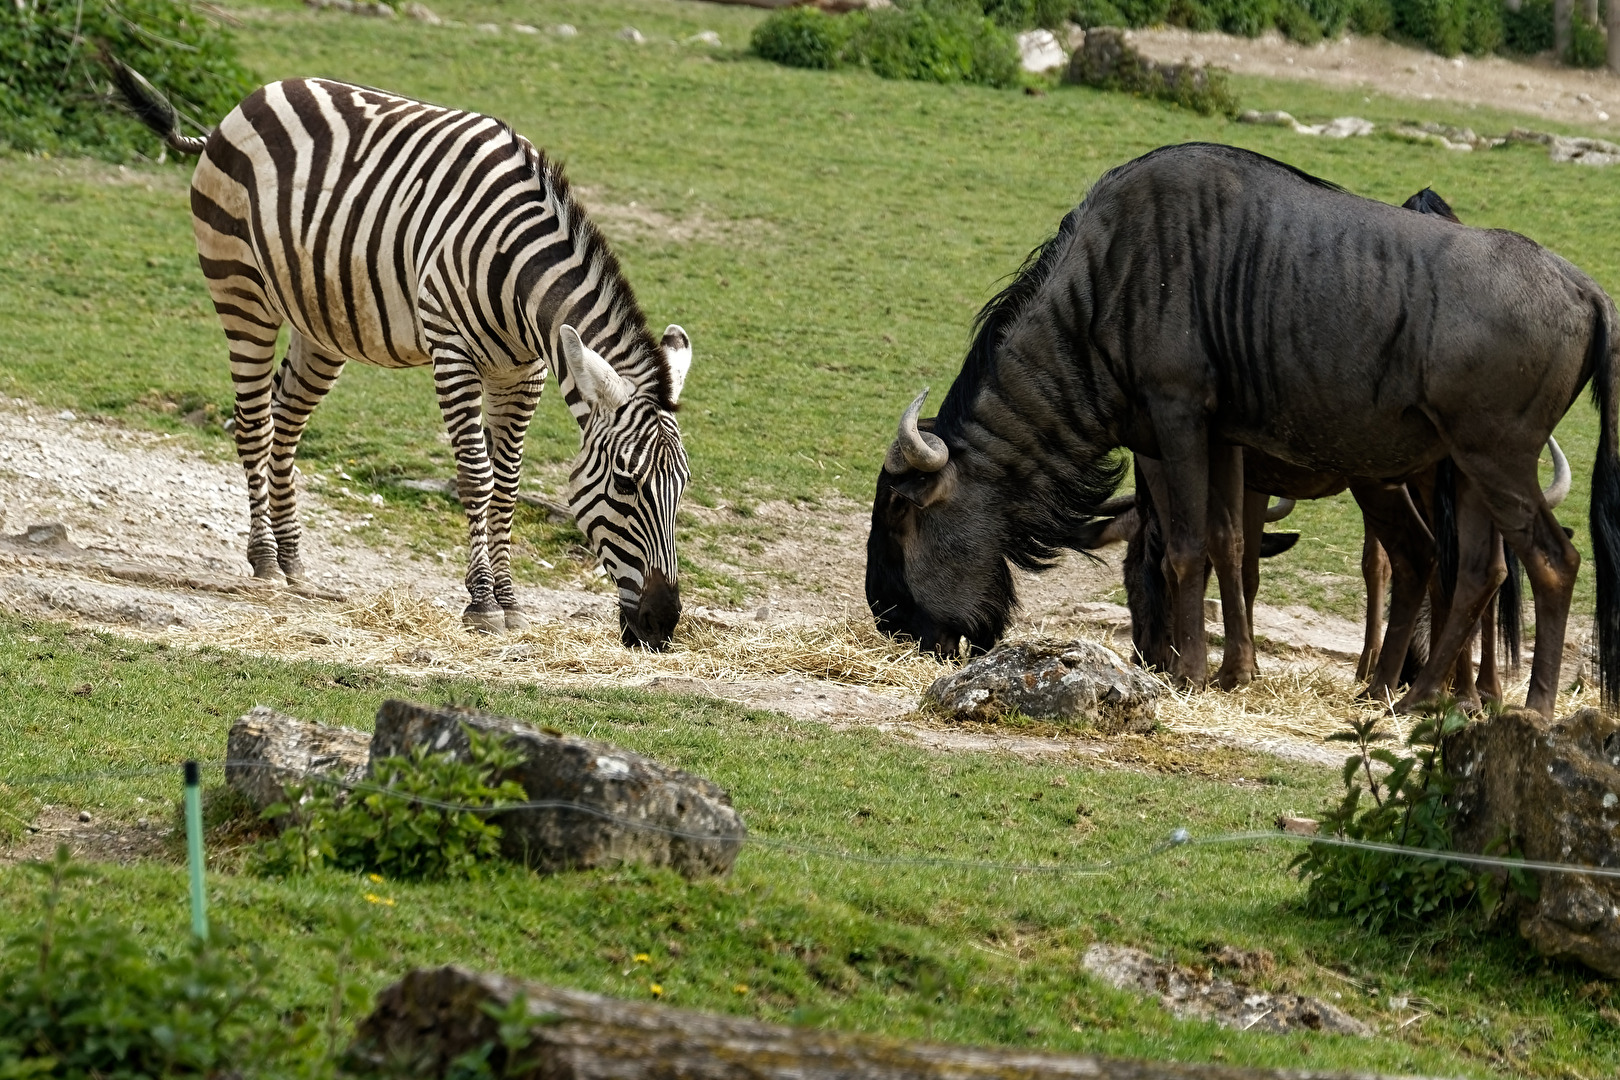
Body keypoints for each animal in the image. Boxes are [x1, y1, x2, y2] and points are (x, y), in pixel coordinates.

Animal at [112, 66, 694, 648]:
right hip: (240, 289)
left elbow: (506, 487)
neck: (518, 272)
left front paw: (510, 602)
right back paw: (266, 560)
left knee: (284, 421)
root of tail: (252, 99)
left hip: (321, 324)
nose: (661, 624)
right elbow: (476, 478)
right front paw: (483, 604)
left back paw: (293, 556)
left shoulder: (522, 372)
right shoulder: (453, 353)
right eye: (625, 483)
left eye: (682, 487)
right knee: (253, 421)